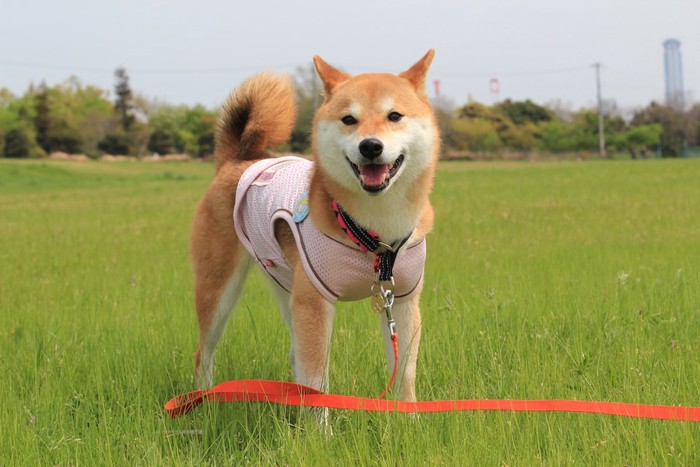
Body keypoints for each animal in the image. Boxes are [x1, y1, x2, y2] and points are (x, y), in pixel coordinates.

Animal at [190, 49, 438, 404]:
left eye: (395, 116)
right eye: (348, 119)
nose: (370, 146)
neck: (373, 232)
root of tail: (236, 161)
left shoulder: (401, 300)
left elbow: (404, 375)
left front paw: (409, 416)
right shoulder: (315, 303)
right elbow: (318, 383)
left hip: (287, 285)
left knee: (295, 355)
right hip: (220, 288)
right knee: (205, 352)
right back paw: (203, 399)